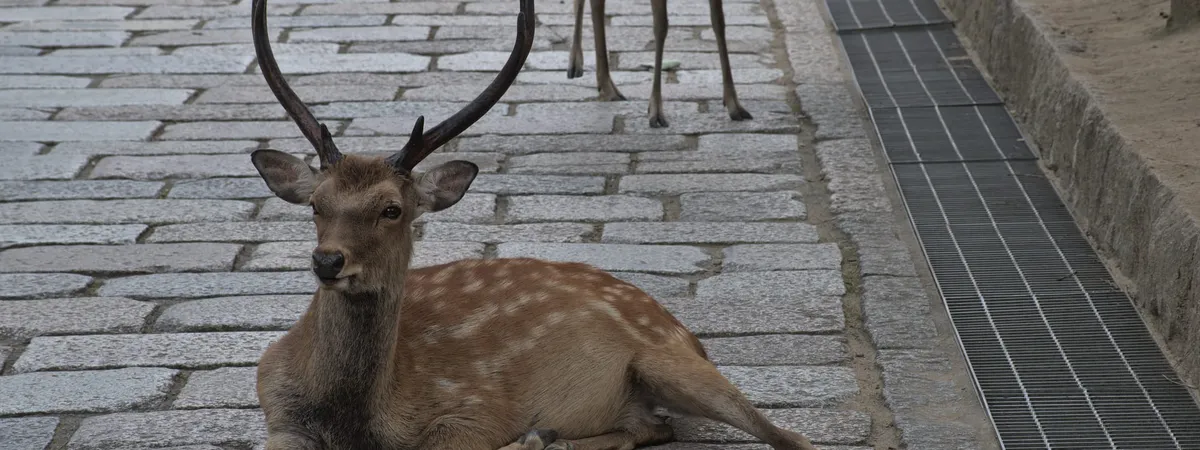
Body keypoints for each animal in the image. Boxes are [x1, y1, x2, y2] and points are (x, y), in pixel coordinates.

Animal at [565, 0, 752, 128]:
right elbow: (661, 25)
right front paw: (655, 112)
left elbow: (719, 22)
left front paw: (734, 105)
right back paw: (580, 67)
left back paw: (604, 84)